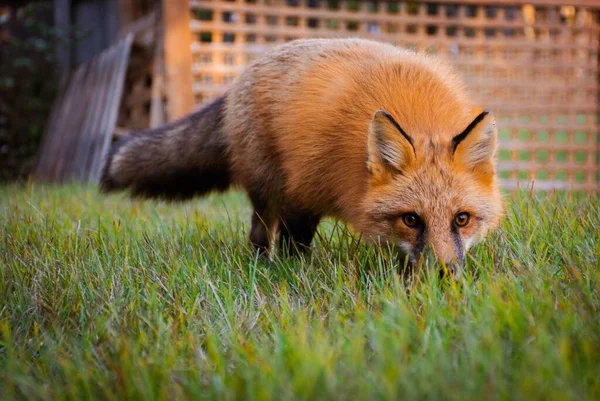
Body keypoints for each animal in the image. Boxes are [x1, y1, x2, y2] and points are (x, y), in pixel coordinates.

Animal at [101, 38, 504, 272]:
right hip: (267, 186)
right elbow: (295, 244)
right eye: (411, 219)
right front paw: (296, 276)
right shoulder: (304, 186)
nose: (446, 274)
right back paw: (262, 266)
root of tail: (242, 75)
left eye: (462, 219)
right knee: (260, 233)